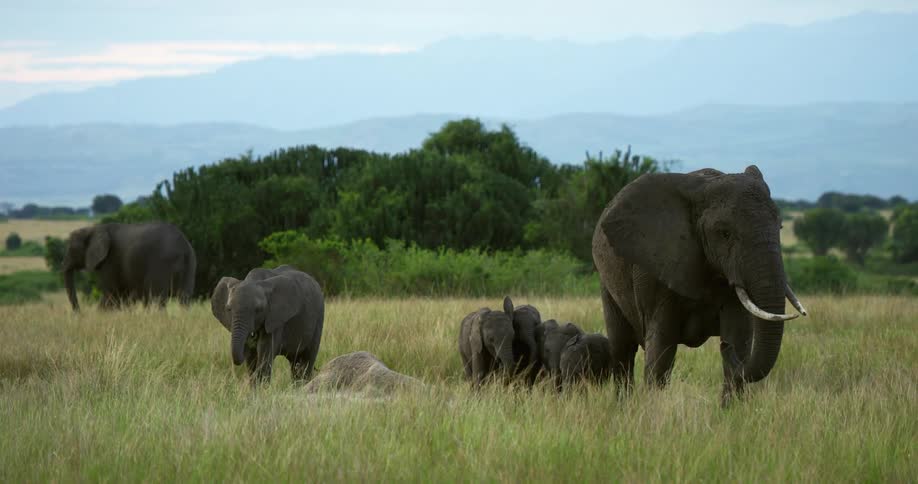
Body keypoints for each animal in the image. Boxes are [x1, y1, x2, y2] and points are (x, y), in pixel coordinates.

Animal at [62, 223, 196, 311]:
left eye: (71, 249)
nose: (79, 313)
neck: (92, 229)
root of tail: (183, 247)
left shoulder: (109, 261)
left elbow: (111, 293)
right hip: (191, 264)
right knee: (184, 299)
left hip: (162, 265)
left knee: (157, 300)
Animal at [591, 166, 808, 404]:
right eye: (725, 233)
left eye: (780, 227)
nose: (724, 346)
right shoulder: (655, 268)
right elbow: (662, 347)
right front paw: (655, 407)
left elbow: (738, 333)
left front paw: (731, 410)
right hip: (607, 282)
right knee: (623, 348)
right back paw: (624, 406)